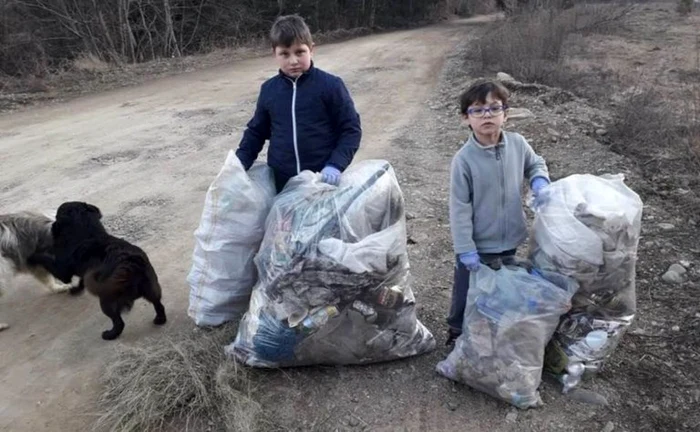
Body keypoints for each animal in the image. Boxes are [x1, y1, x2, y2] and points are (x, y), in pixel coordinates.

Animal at [30, 202, 167, 340]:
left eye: (57, 216)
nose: (52, 225)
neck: (87, 231)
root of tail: (129, 263)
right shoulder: (85, 272)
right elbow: (82, 281)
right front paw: (76, 290)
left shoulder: (62, 271)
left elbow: (45, 259)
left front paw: (32, 257)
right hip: (151, 289)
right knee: (158, 304)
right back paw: (160, 319)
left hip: (107, 301)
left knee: (119, 322)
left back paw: (110, 334)